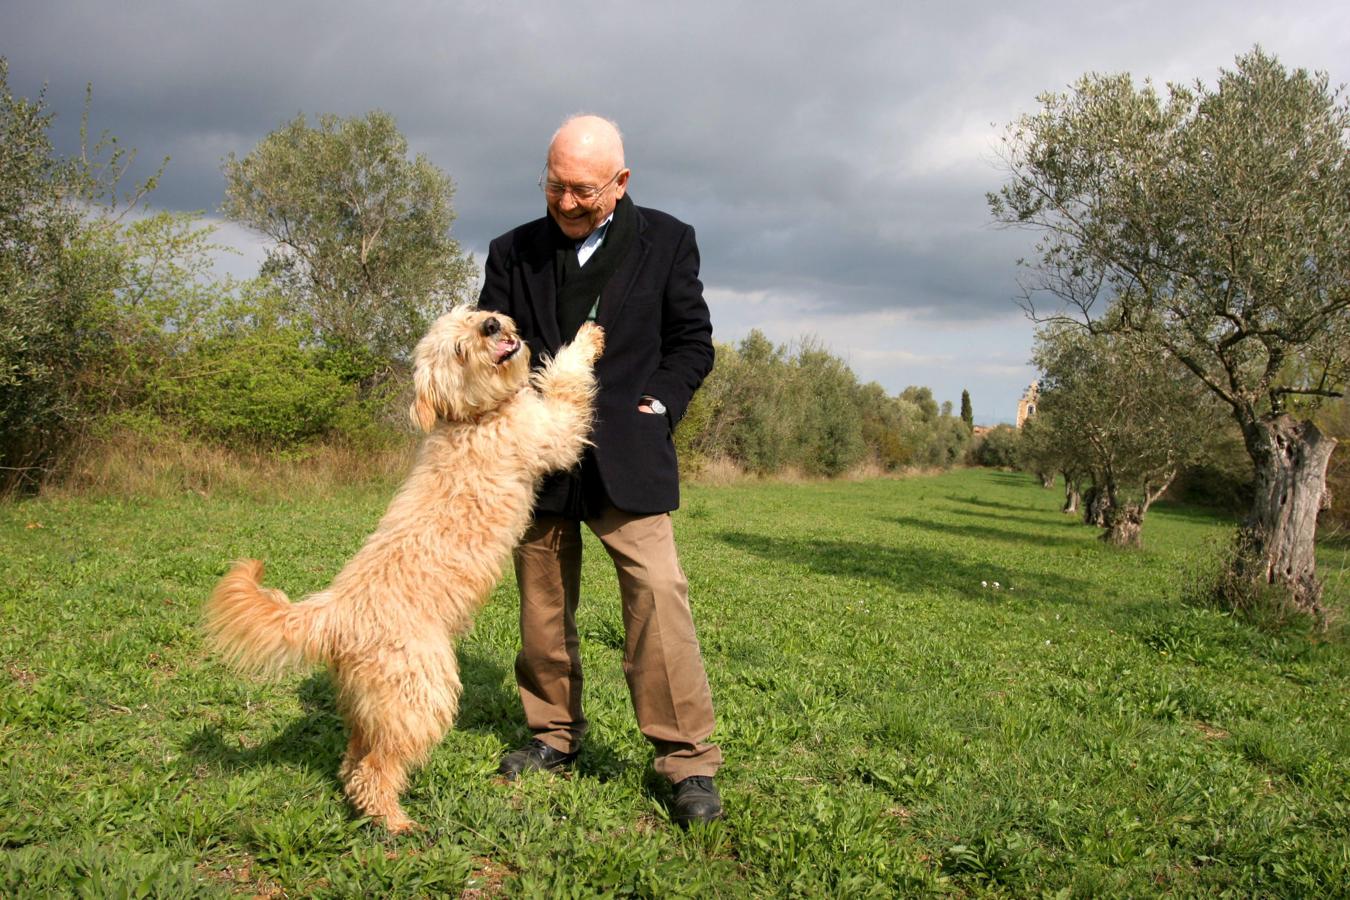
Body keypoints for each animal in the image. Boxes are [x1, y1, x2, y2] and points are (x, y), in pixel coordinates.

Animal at [206, 310, 607, 831]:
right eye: (458, 350)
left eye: (470, 314)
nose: (492, 323)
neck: (474, 418)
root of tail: (333, 613)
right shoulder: (551, 432)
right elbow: (565, 378)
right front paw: (587, 338)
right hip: (421, 694)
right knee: (378, 767)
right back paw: (395, 823)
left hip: (370, 704)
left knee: (355, 758)